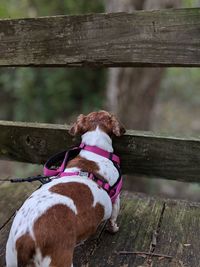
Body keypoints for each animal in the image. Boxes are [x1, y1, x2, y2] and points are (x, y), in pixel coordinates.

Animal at [5, 111, 125, 267]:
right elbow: (113, 216)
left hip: (11, 258)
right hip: (60, 259)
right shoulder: (116, 197)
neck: (94, 150)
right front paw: (113, 228)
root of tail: (25, 239)